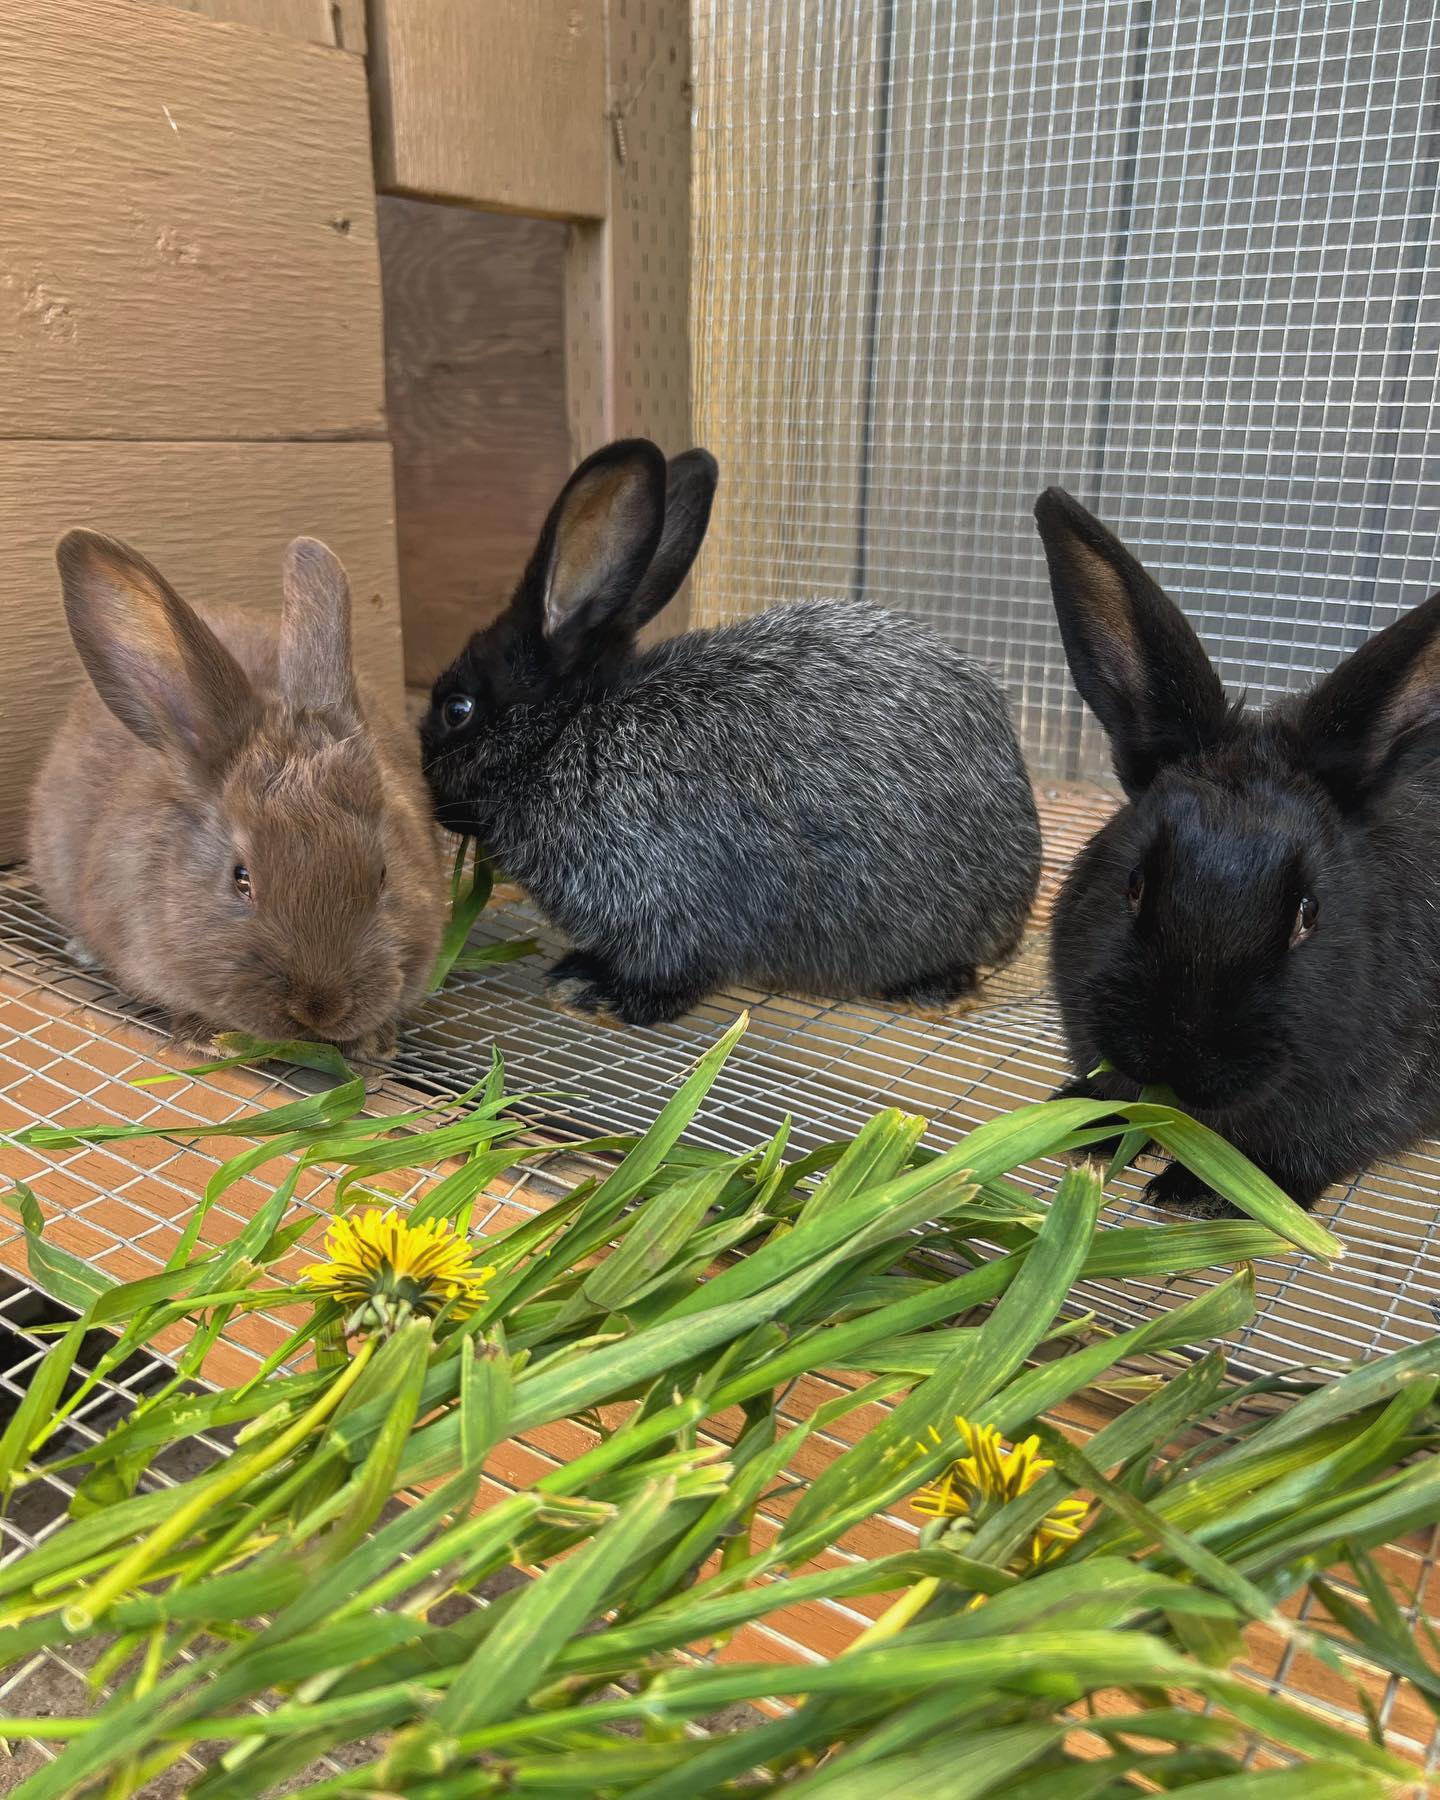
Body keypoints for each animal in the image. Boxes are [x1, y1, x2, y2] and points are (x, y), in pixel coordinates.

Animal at [419, 437, 1042, 1028]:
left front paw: (590, 992)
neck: (567, 733)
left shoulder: (659, 895)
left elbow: (671, 972)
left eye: (457, 709)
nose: (434, 804)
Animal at [1035, 484, 1440, 1213]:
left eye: (1309, 913)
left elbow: (1309, 1153)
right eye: (1133, 884)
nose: (1178, 1061)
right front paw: (1083, 1121)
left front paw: (1193, 1190)